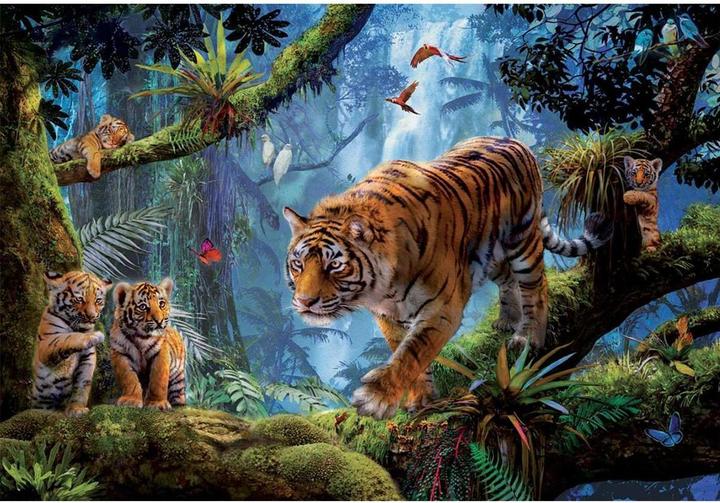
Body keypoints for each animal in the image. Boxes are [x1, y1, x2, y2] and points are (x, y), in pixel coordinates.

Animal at [32, 271, 112, 416]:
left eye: (98, 301)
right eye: (79, 299)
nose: (92, 316)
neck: (79, 328)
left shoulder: (88, 358)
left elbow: (82, 386)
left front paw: (77, 408)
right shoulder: (46, 344)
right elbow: (66, 337)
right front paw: (94, 335)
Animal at [110, 278, 186, 410]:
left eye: (161, 304)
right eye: (143, 307)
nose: (159, 321)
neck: (141, 337)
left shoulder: (160, 353)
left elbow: (158, 379)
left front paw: (157, 403)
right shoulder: (120, 353)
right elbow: (128, 378)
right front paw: (131, 400)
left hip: (178, 377)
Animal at [283, 136, 612, 420]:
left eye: (334, 265)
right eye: (298, 263)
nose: (304, 301)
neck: (384, 289)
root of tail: (516, 142)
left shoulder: (441, 309)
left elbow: (412, 353)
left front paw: (377, 397)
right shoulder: (388, 317)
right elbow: (410, 355)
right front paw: (420, 400)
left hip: (523, 240)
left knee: (536, 285)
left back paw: (528, 337)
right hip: (488, 254)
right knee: (507, 279)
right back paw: (506, 320)